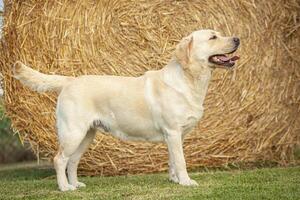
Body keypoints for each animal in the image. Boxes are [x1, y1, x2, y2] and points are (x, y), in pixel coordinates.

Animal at [12, 29, 240, 191]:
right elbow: (181, 161)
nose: (237, 38)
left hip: (87, 134)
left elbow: (173, 161)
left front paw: (175, 180)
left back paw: (75, 184)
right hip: (73, 132)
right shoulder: (173, 132)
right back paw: (64, 188)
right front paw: (186, 182)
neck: (188, 79)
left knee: (73, 161)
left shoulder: (175, 136)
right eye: (213, 37)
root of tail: (70, 80)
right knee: (59, 159)